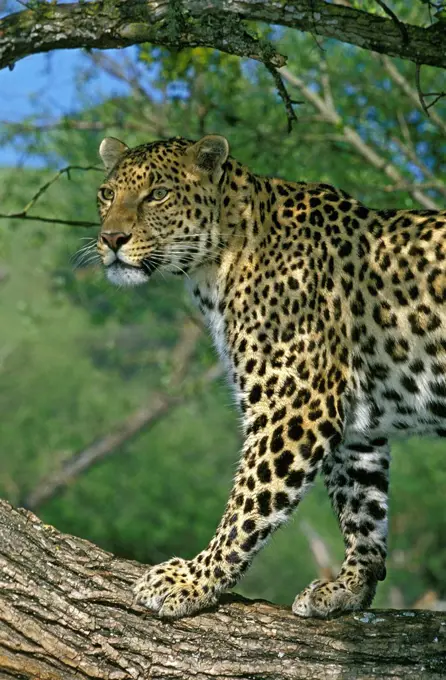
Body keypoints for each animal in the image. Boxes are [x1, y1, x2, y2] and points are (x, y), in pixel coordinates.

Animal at [95, 131, 446, 616]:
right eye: (106, 194)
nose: (111, 238)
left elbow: (247, 506)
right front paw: (350, 587)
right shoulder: (358, 426)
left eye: (158, 194)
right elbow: (362, 507)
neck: (218, 264)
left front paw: (193, 580)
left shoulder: (295, 408)